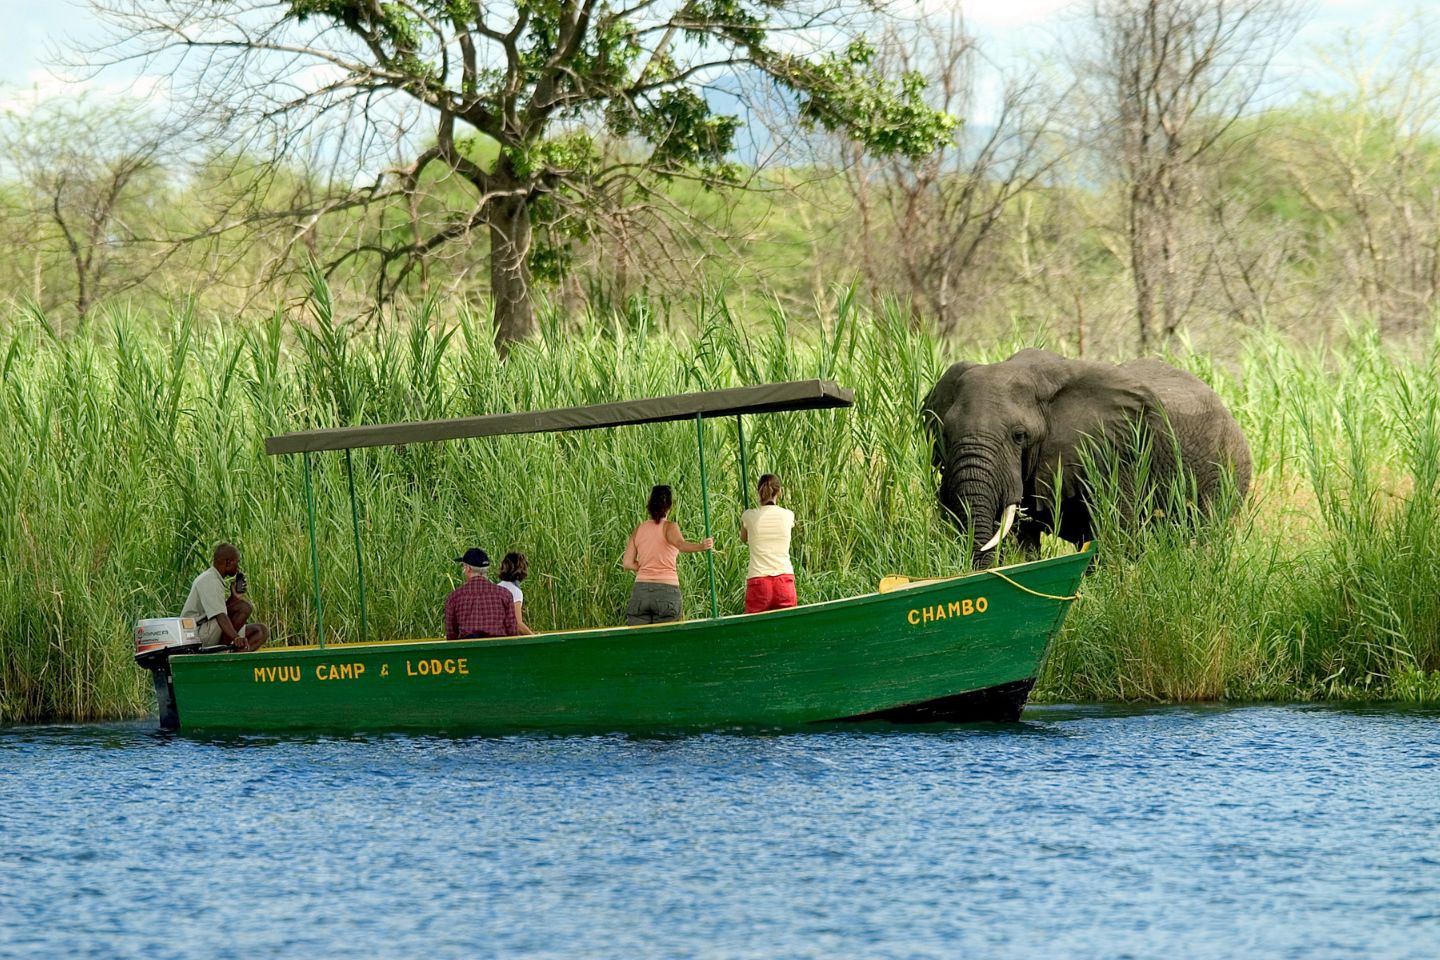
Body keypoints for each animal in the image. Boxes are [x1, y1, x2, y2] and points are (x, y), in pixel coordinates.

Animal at [921, 351, 1249, 564]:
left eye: (1019, 435)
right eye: (945, 433)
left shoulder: (1116, 455)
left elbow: (1115, 535)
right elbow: (1023, 540)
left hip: (1226, 473)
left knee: (1204, 537)